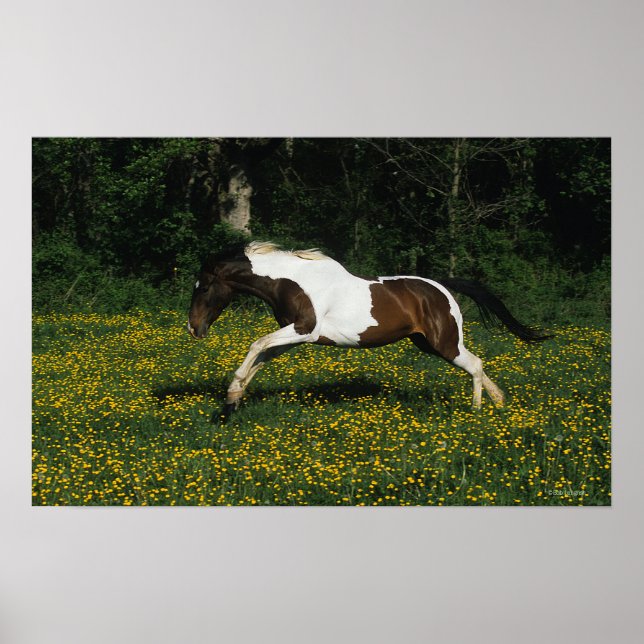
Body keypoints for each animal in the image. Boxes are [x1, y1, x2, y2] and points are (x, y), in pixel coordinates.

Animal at [187, 241, 549, 421]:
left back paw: (476, 412)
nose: (193, 328)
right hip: (427, 343)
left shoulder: (303, 330)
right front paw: (232, 401)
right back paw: (499, 402)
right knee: (478, 365)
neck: (292, 282)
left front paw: (231, 397)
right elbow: (261, 356)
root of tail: (441, 287)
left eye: (203, 287)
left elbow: (256, 345)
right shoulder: (294, 336)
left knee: (474, 365)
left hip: (444, 343)